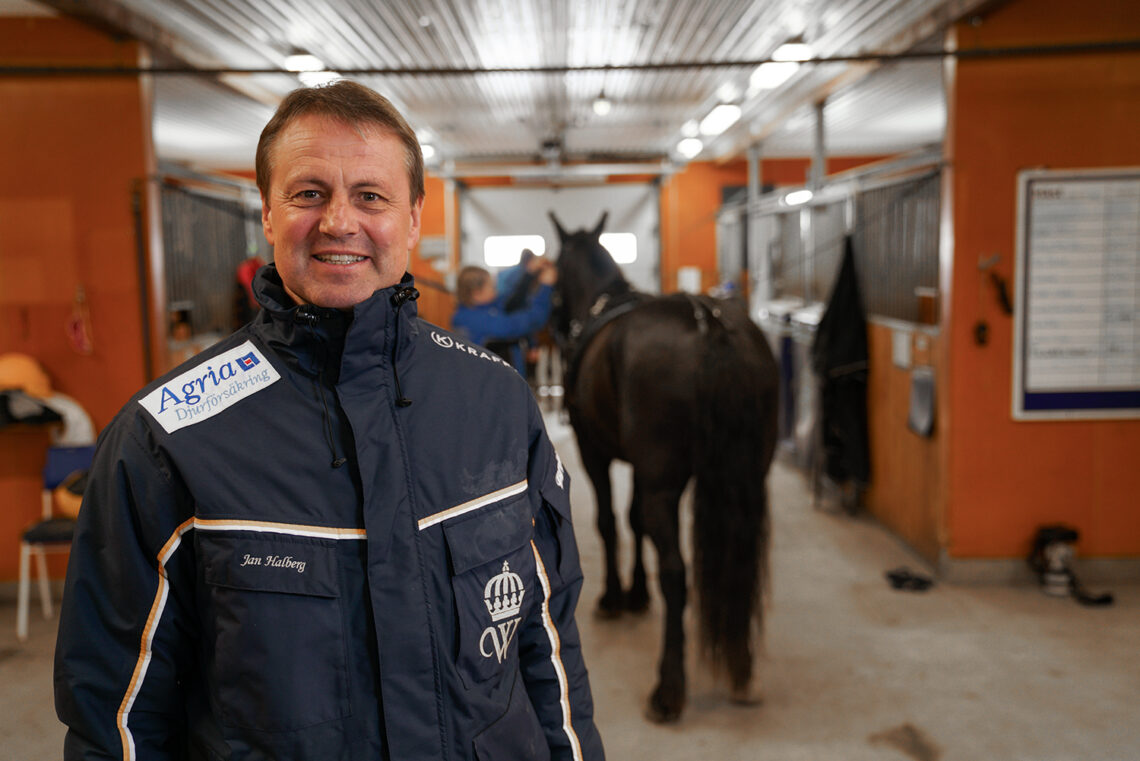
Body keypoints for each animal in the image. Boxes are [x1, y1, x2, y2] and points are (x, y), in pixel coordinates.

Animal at [547, 210, 779, 724]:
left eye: (552, 273)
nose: (553, 323)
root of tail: (709, 323)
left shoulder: (595, 453)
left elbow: (610, 522)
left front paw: (615, 597)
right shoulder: (641, 467)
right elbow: (633, 522)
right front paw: (636, 594)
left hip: (663, 487)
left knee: (675, 571)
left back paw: (669, 688)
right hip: (745, 481)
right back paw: (743, 672)